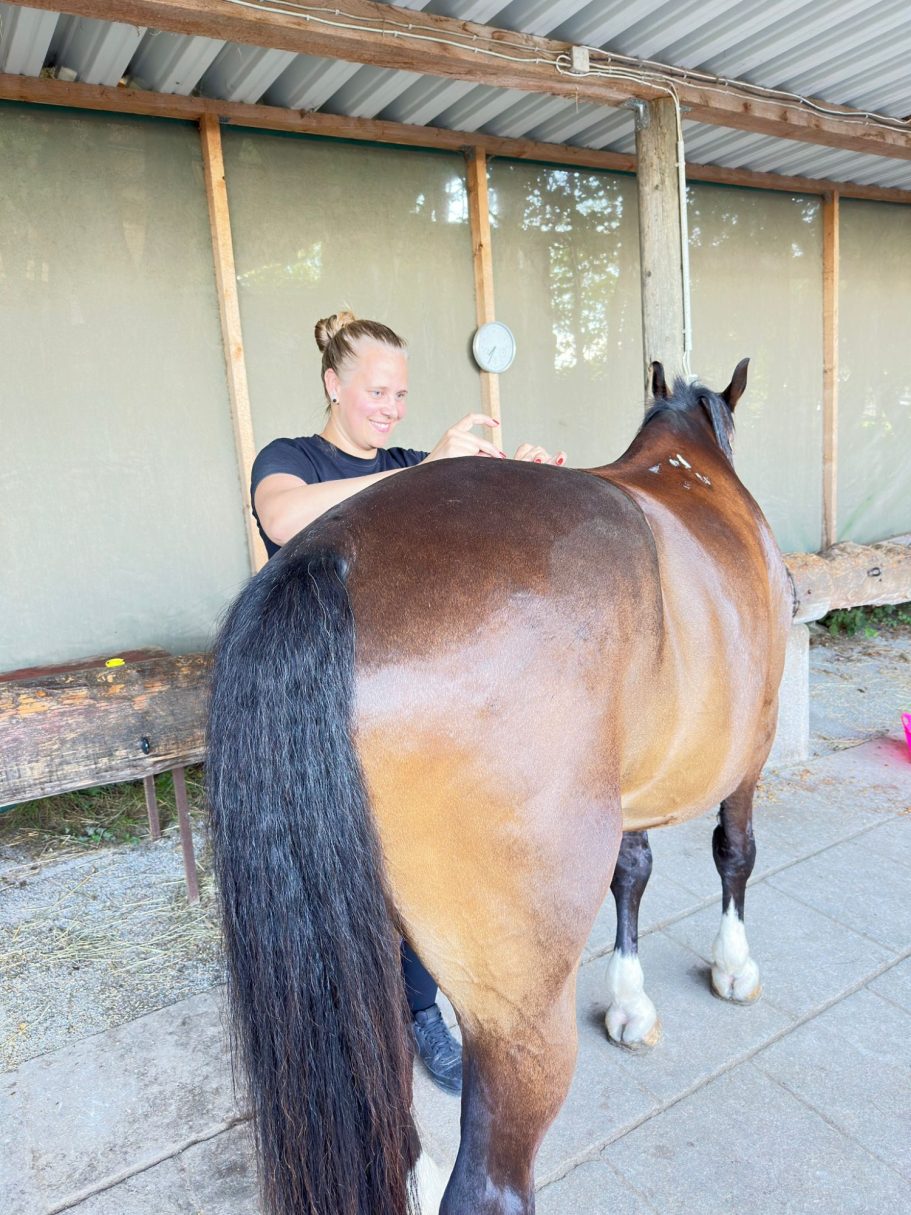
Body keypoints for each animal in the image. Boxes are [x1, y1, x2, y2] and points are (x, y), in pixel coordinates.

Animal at [206, 359, 792, 1215]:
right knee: (490, 1184)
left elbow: (632, 873)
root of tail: (332, 554)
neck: (692, 468)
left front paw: (628, 1002)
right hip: (517, 1020)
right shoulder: (750, 750)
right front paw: (732, 966)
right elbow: (734, 852)